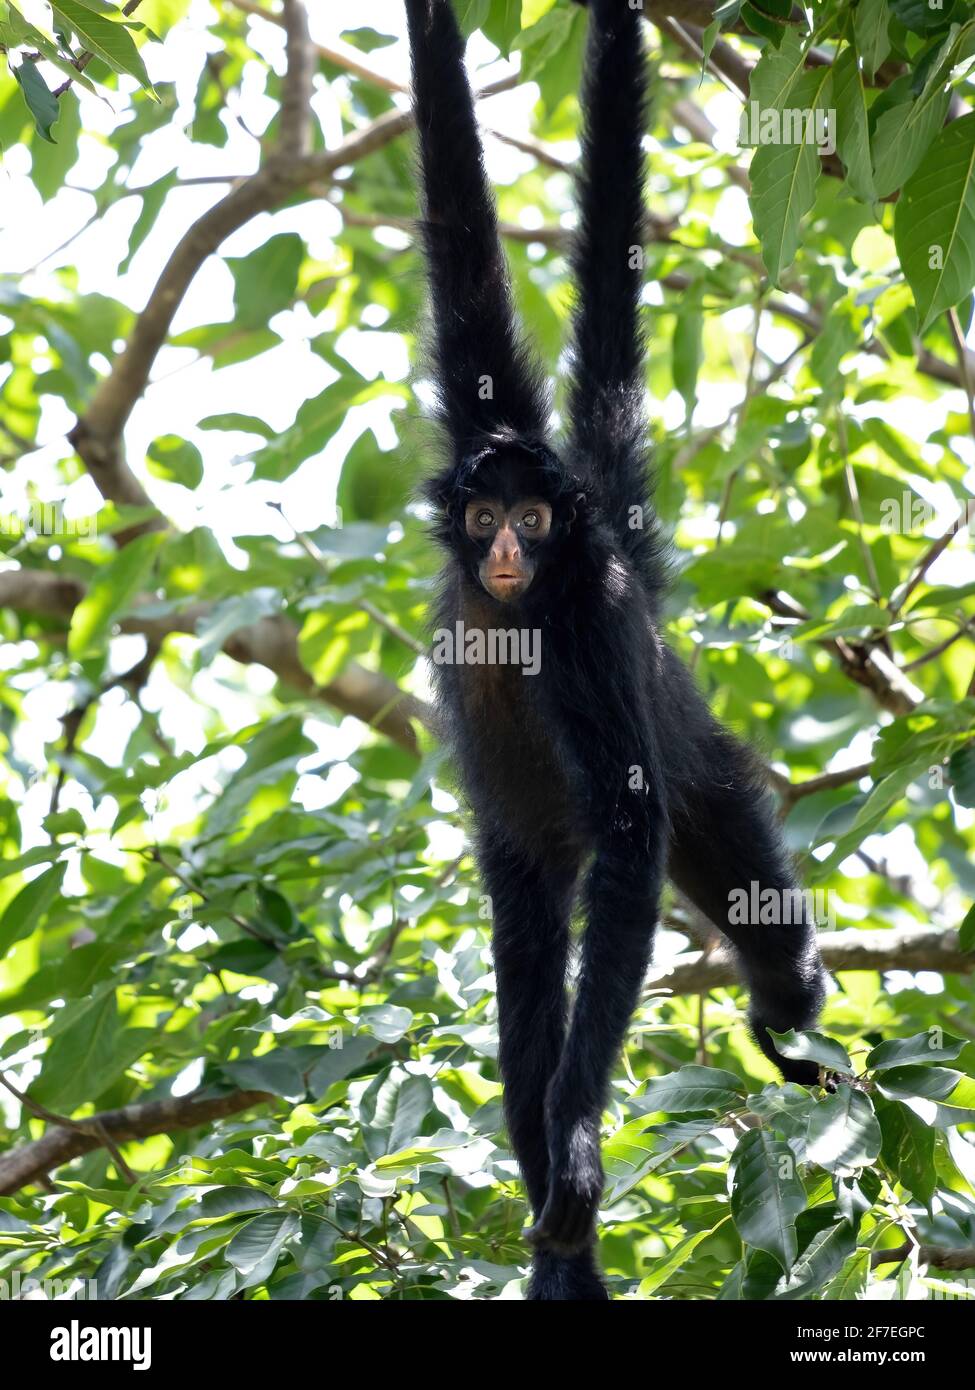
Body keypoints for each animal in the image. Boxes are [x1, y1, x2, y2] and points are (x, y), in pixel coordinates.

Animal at [400, 2, 823, 1301]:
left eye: (538, 521)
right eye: (489, 514)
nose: (503, 549)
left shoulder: (586, 613)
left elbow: (632, 835)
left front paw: (583, 1144)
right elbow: (459, 235)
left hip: (710, 769)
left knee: (766, 939)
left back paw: (783, 1021)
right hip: (532, 882)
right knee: (528, 997)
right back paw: (560, 1245)